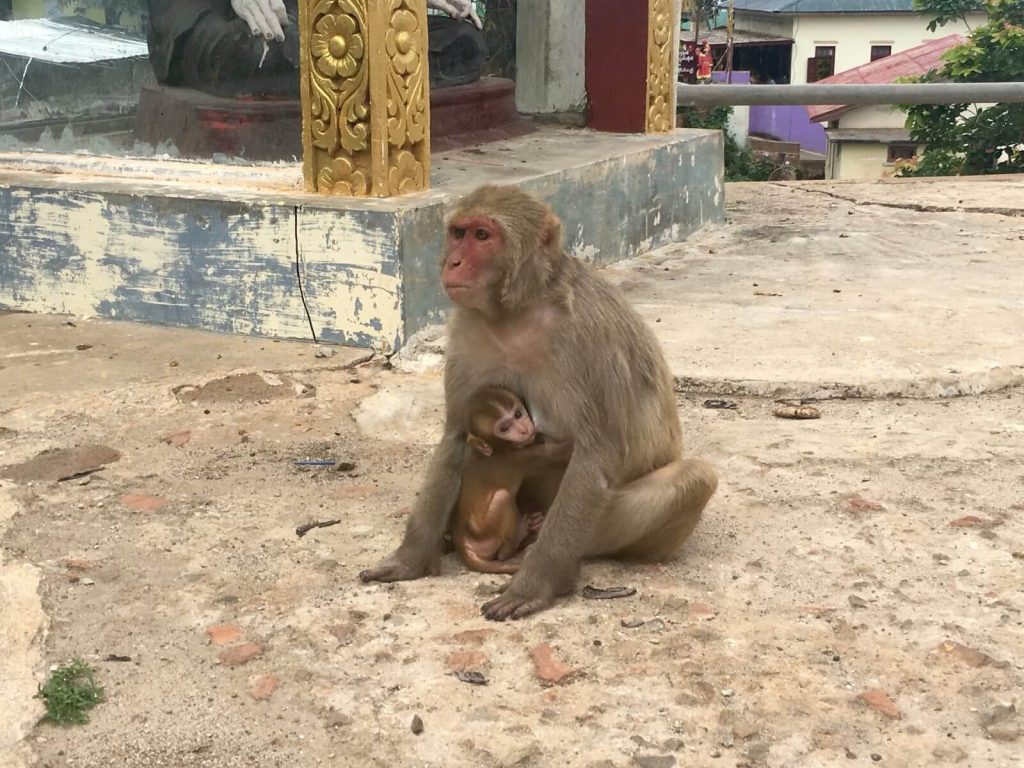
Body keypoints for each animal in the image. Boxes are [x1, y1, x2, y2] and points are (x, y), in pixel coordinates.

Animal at [450, 386, 572, 575]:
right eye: (505, 428)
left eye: (518, 414)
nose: (523, 429)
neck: (498, 448)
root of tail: (461, 540)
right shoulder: (520, 457)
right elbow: (562, 452)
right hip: (486, 533)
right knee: (502, 498)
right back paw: (514, 541)